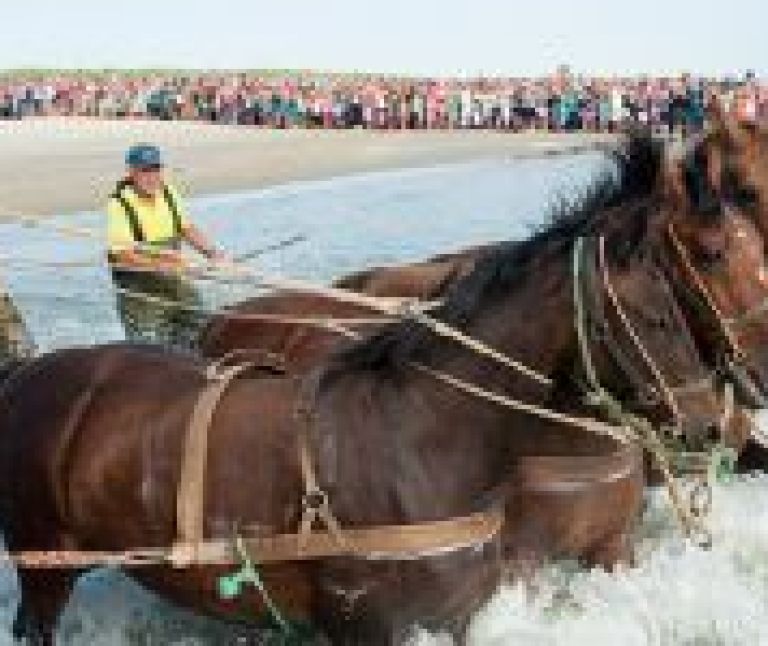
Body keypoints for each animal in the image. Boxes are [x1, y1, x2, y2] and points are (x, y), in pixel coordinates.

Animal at [0, 134, 752, 644]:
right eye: (658, 314)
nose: (711, 421)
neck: (421, 436)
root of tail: (26, 373)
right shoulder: (373, 626)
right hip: (44, 565)